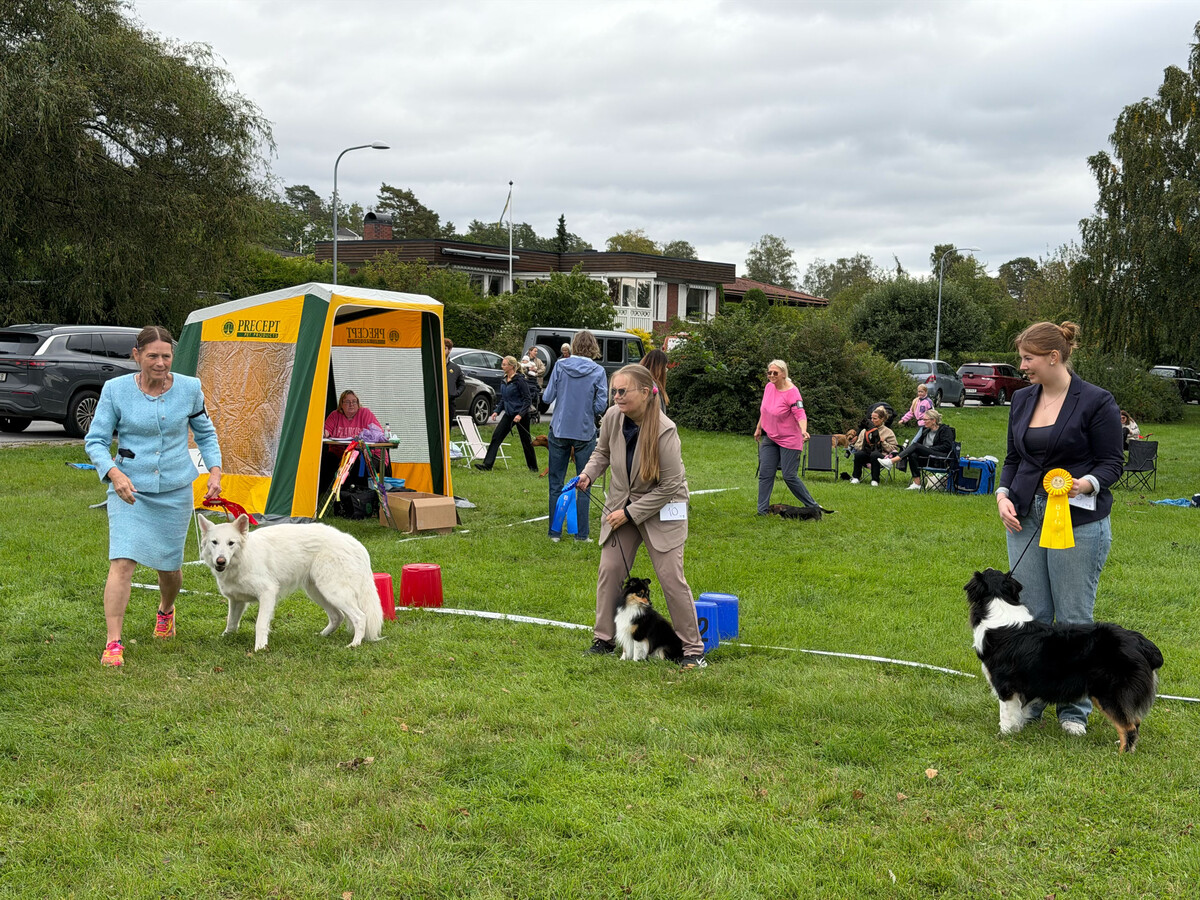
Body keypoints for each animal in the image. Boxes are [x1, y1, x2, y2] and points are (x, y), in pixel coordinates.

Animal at [198, 514, 384, 652]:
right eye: (214, 542)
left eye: (231, 543)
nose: (220, 561)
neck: (241, 559)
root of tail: (353, 542)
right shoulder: (236, 601)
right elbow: (231, 623)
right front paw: (224, 639)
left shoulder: (267, 594)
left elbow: (260, 624)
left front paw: (260, 648)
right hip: (317, 592)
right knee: (337, 616)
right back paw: (321, 636)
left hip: (333, 592)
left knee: (360, 617)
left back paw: (354, 644)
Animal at [965, 568, 1163, 752]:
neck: (999, 602)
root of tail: (1142, 643)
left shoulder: (1006, 687)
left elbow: (1006, 715)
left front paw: (1004, 737)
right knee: (1134, 720)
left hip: (1109, 693)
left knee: (1129, 726)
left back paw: (1121, 754)